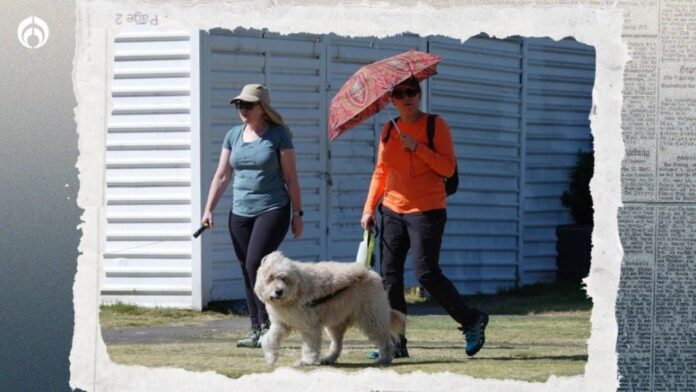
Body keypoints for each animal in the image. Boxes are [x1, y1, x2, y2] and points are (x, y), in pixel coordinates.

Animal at [254, 250, 408, 366]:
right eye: (270, 278)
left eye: (284, 278)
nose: (279, 291)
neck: (295, 291)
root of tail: (372, 273)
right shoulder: (281, 324)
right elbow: (269, 338)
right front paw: (270, 357)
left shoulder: (309, 325)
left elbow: (310, 344)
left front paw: (306, 361)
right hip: (336, 323)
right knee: (337, 344)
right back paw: (329, 358)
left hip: (372, 318)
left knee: (384, 340)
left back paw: (384, 359)